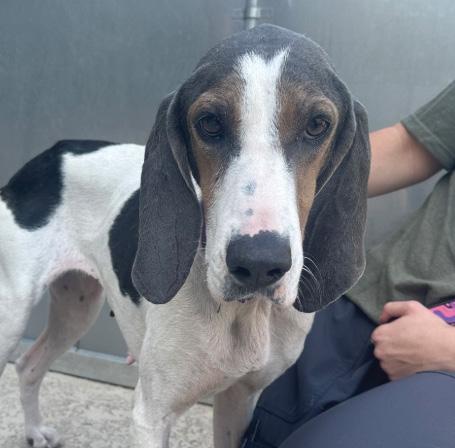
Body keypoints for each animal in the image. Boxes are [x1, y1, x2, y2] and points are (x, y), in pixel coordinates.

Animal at [0, 24, 370, 448]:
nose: (259, 263)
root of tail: (49, 155)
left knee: (29, 365)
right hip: (12, 314)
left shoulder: (239, 401)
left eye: (317, 124)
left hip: (77, 305)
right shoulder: (150, 415)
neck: (244, 315)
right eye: (209, 122)